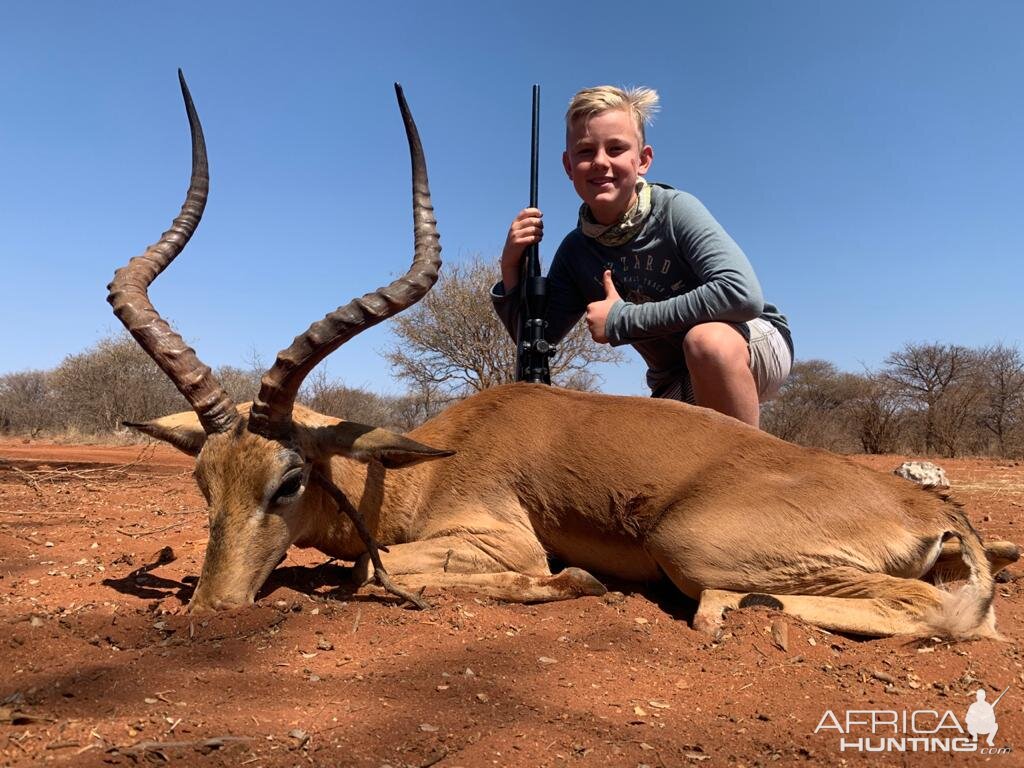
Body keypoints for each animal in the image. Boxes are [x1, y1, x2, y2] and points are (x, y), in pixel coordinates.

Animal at [112, 75, 1015, 643]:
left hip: (693, 547)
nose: (212, 607)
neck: (424, 466)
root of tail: (929, 512)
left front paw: (577, 582)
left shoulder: (502, 545)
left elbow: (373, 571)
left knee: (937, 611)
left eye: (289, 481)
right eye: (204, 483)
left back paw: (733, 607)